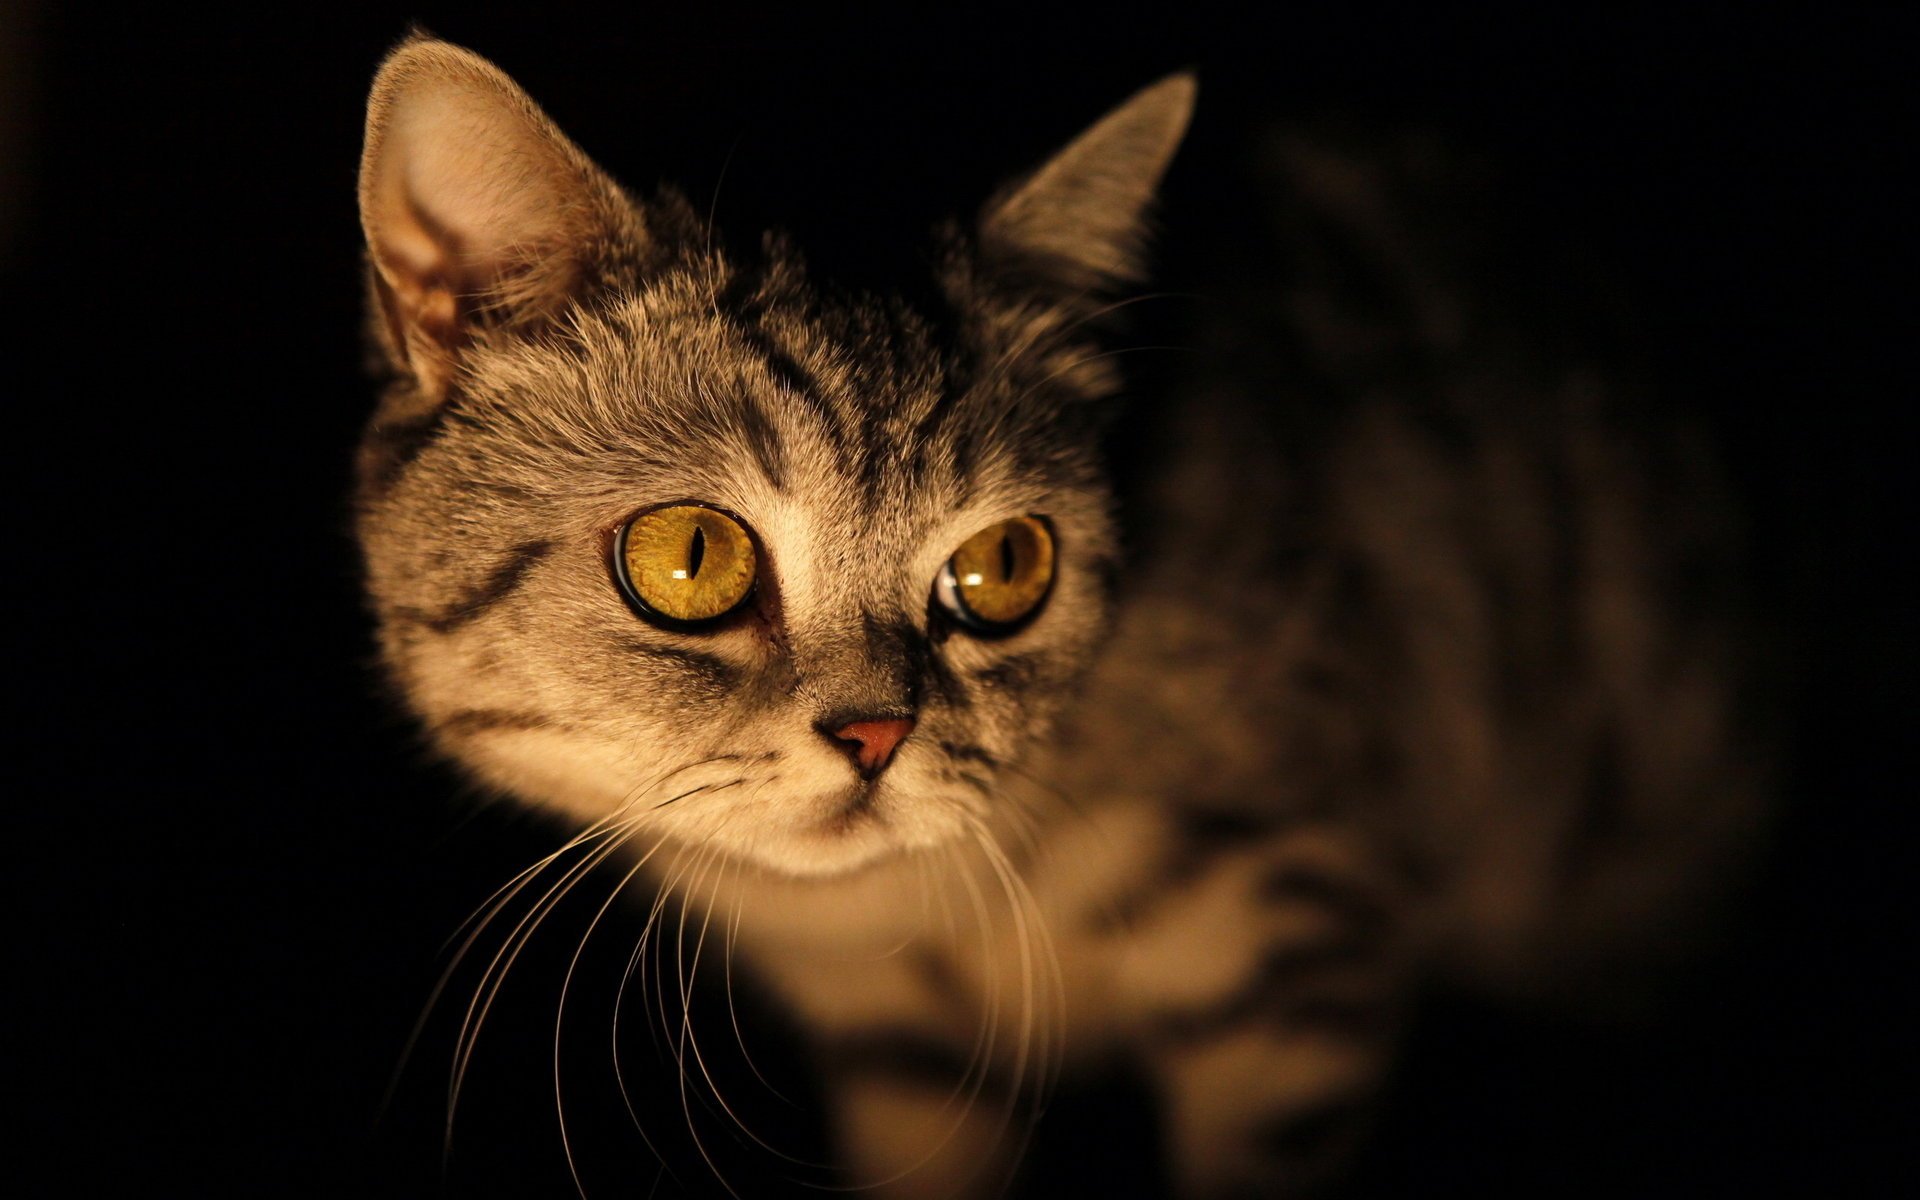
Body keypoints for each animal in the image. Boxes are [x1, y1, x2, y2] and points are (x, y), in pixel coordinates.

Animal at [353, 32, 1758, 1190]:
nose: (876, 738)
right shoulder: (901, 1065)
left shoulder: (1300, 945)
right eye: (689, 556)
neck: (911, 919)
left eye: (1002, 568)